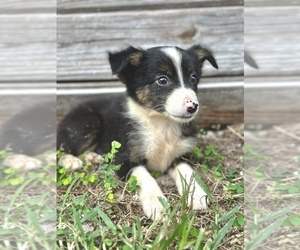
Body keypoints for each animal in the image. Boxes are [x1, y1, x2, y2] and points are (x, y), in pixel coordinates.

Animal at [57, 45, 218, 221]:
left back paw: (93, 157)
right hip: (87, 123)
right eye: (162, 80)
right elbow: (145, 177)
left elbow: (188, 173)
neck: (161, 122)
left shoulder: (181, 156)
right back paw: (71, 161)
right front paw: (157, 204)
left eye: (193, 78)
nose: (192, 106)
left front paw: (197, 194)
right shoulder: (123, 159)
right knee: (59, 149)